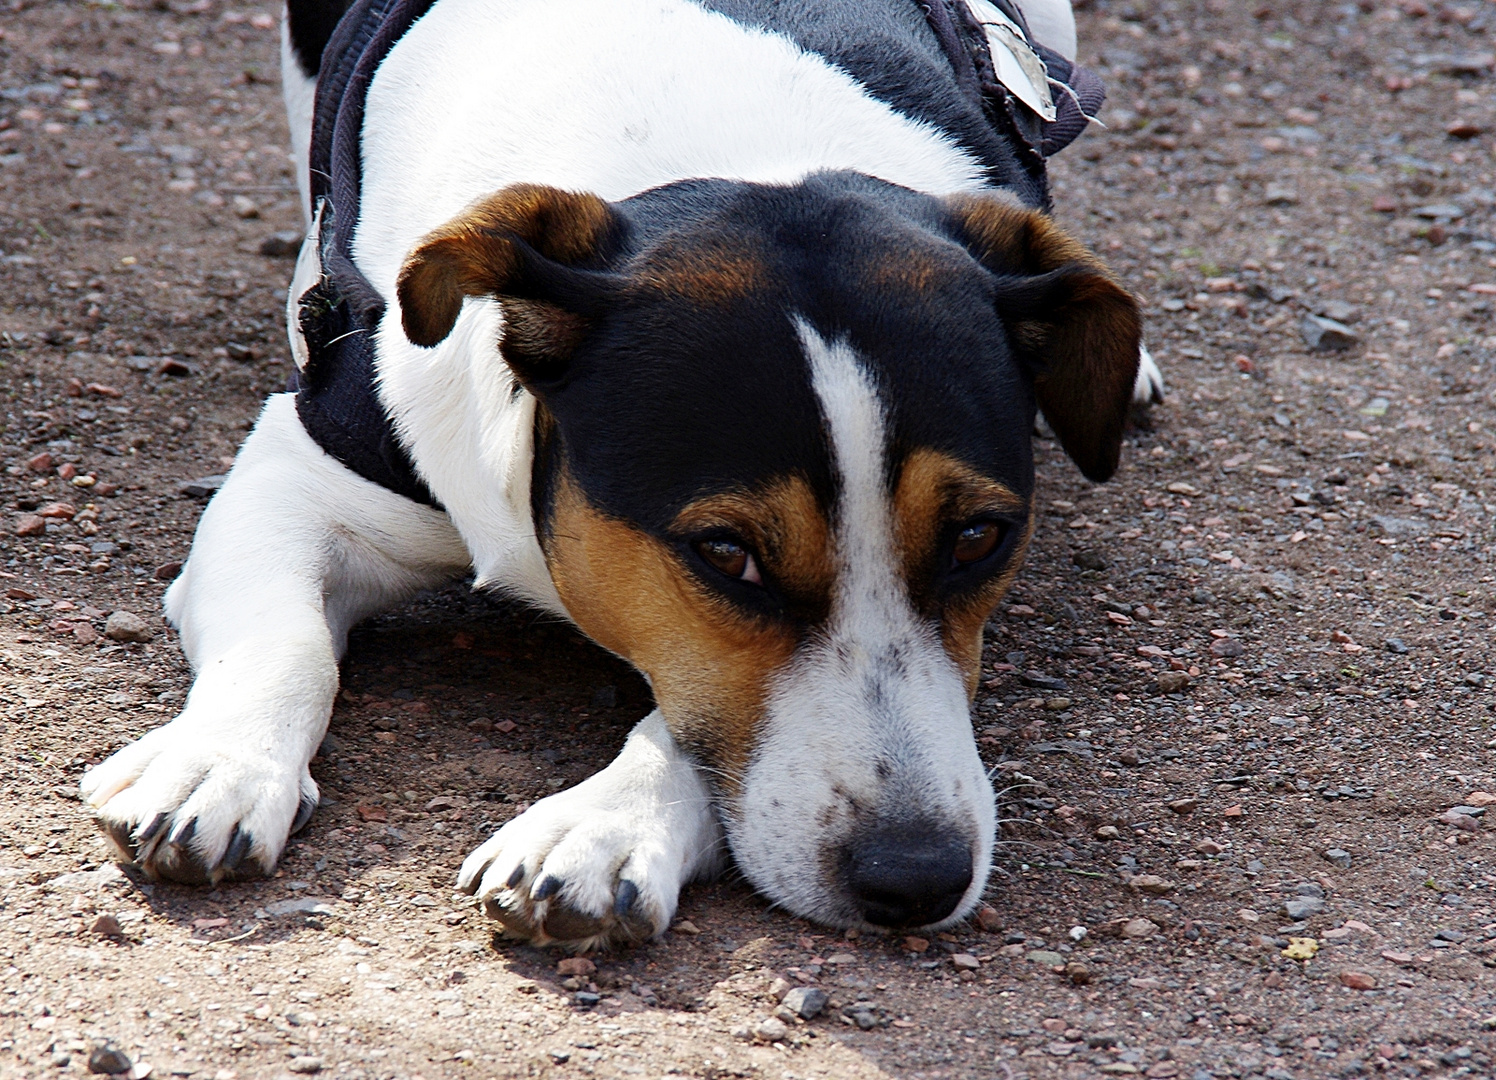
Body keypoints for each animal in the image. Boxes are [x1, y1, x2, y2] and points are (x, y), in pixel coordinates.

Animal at [75, 0, 1160, 945]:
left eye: (979, 538)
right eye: (724, 553)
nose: (919, 877)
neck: (729, 142)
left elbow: (689, 721)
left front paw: (604, 825)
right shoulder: (301, 476)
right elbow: (287, 641)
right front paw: (216, 765)